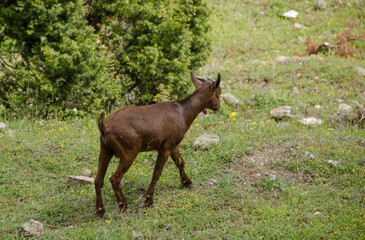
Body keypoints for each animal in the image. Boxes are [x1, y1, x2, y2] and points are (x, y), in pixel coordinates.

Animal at [94, 70, 220, 217]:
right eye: (218, 92)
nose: (218, 106)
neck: (182, 111)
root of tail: (105, 127)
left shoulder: (173, 146)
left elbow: (180, 162)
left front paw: (186, 182)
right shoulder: (165, 148)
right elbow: (157, 173)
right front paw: (148, 200)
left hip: (105, 150)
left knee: (98, 180)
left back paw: (100, 210)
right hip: (129, 153)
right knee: (114, 178)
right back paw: (123, 205)